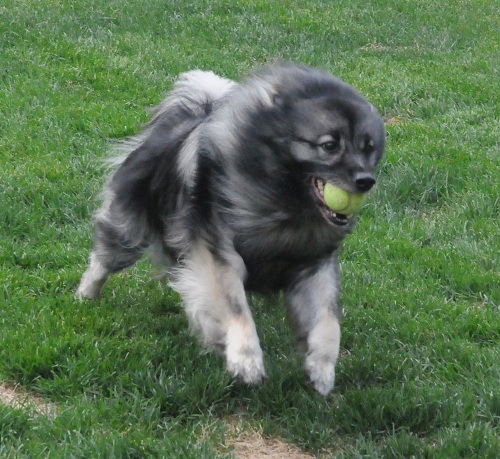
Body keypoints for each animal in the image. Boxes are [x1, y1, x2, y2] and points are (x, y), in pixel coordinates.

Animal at [75, 63, 386, 398]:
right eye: (329, 146)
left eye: (368, 149)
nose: (366, 181)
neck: (284, 201)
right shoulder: (217, 253)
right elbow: (236, 310)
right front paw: (245, 361)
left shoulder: (313, 264)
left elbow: (328, 321)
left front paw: (322, 368)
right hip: (129, 228)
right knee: (104, 257)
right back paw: (85, 295)